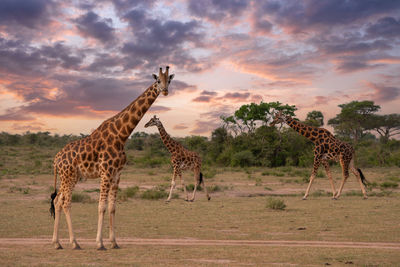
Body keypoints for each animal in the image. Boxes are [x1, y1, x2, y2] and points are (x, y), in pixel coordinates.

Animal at [49, 66, 174, 250]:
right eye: (158, 80)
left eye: (169, 80)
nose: (165, 91)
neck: (121, 135)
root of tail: (56, 160)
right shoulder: (106, 172)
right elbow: (101, 206)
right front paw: (99, 243)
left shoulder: (117, 174)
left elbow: (113, 207)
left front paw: (114, 242)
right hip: (68, 176)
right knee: (65, 202)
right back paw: (74, 242)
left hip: (72, 176)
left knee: (58, 201)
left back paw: (57, 243)